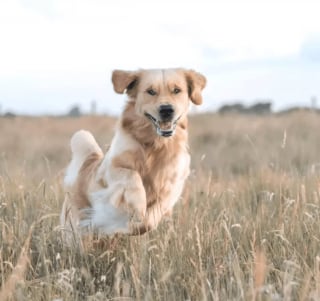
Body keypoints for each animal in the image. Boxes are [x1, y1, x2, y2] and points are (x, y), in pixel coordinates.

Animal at [61, 68, 206, 241]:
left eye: (177, 90)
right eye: (151, 91)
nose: (166, 110)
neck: (155, 145)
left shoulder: (173, 185)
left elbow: (152, 217)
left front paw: (134, 225)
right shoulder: (111, 169)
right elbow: (132, 177)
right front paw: (137, 206)